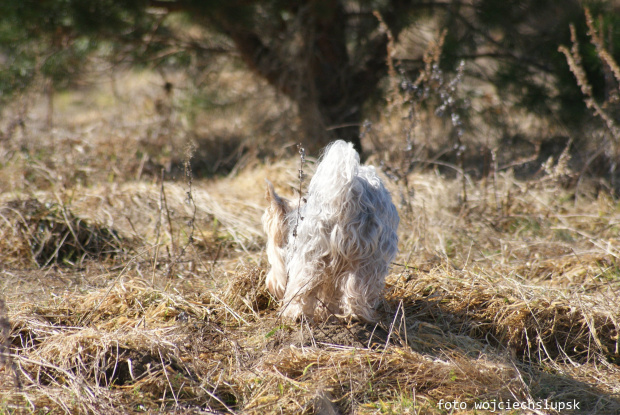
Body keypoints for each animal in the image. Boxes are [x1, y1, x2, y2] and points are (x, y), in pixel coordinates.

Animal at [260, 141, 398, 324]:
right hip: (370, 257)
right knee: (358, 287)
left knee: (302, 287)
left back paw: (294, 314)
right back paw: (356, 315)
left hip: (311, 256)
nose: (270, 284)